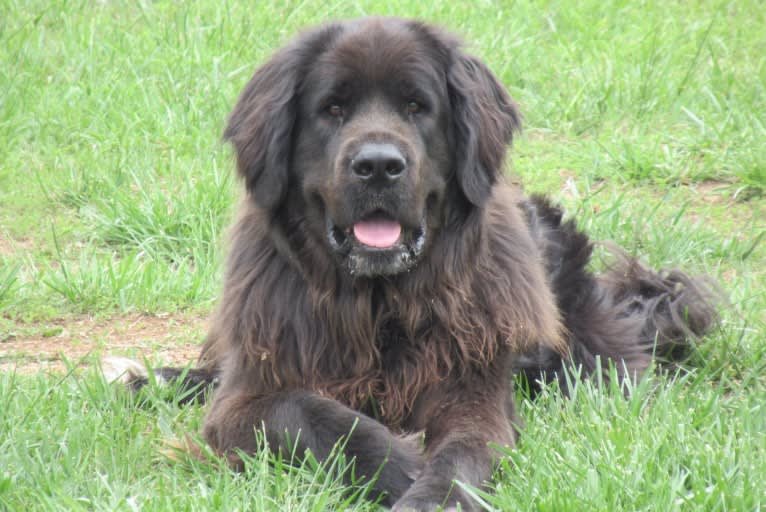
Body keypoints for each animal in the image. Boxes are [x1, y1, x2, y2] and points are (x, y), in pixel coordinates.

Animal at [106, 18, 720, 510]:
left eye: (416, 107)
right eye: (332, 109)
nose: (378, 164)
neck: (380, 304)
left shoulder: (472, 383)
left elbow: (465, 450)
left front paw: (432, 494)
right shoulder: (248, 396)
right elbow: (309, 414)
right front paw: (400, 466)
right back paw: (154, 379)